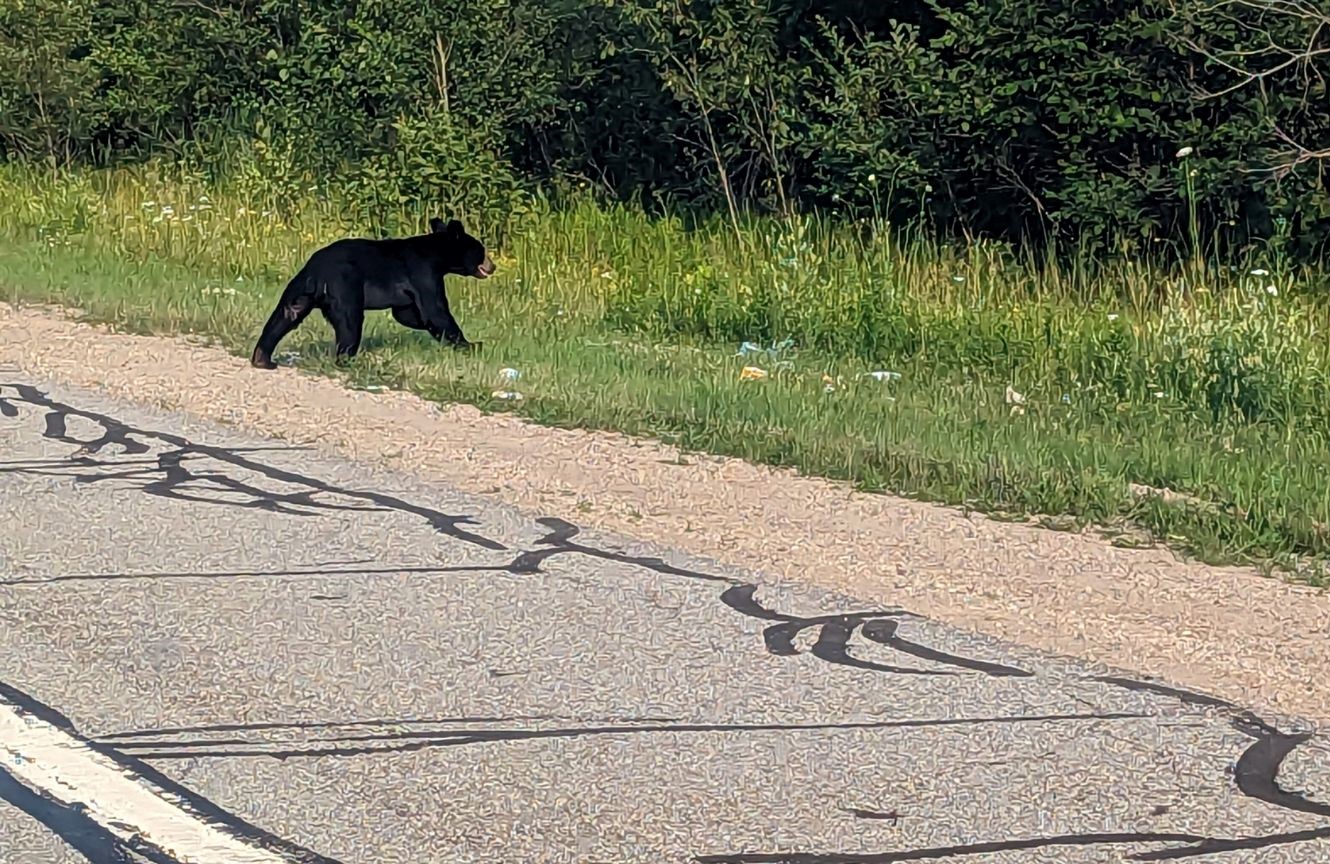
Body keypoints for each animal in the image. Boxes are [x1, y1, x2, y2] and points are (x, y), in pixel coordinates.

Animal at [250, 216, 495, 369]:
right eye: (482, 250)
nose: (492, 266)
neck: (438, 256)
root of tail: (316, 272)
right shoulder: (423, 273)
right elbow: (435, 310)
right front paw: (473, 345)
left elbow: (407, 313)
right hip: (345, 287)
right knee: (350, 323)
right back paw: (347, 360)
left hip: (299, 288)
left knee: (286, 314)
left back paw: (262, 358)